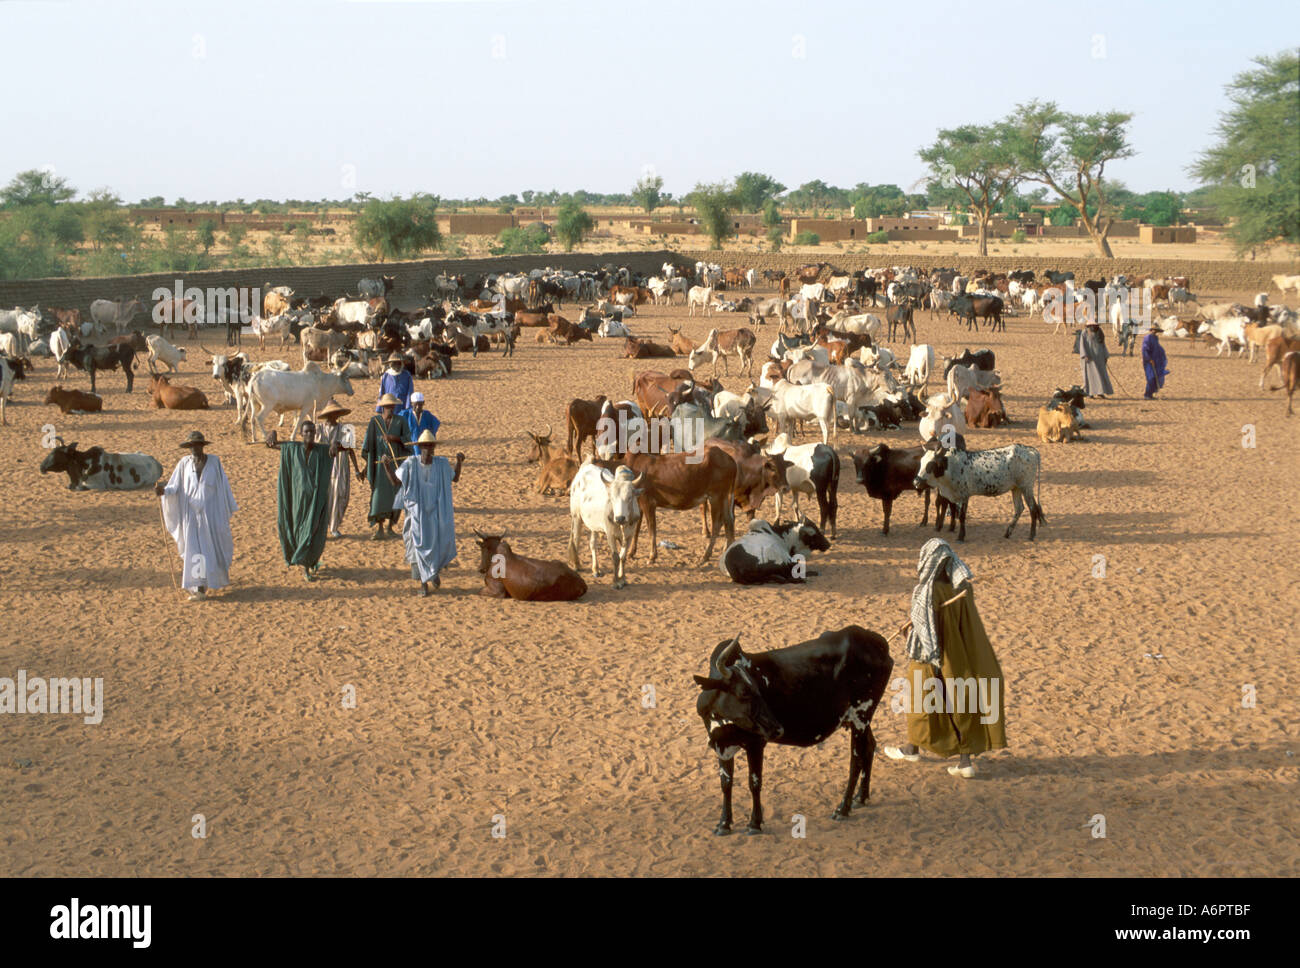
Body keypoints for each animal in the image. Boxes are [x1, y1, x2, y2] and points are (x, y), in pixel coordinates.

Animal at [696, 631, 899, 836]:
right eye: (744, 692)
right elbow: (726, 783)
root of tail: (879, 643)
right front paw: (724, 824)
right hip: (860, 721)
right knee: (870, 747)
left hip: (860, 715)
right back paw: (861, 797)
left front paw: (754, 823)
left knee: (856, 760)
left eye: (758, 689)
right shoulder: (721, 747)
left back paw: (843, 808)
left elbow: (754, 783)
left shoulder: (756, 744)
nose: (777, 728)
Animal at [915, 441, 1045, 540]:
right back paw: (1007, 533)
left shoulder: (964, 495)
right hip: (1016, 488)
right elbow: (953, 511)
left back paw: (1031, 535)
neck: (950, 466)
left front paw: (961, 536)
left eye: (930, 465)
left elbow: (962, 516)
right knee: (1019, 508)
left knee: (1033, 509)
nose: (916, 482)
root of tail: (1031, 450)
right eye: (921, 462)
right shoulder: (954, 496)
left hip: (1026, 487)